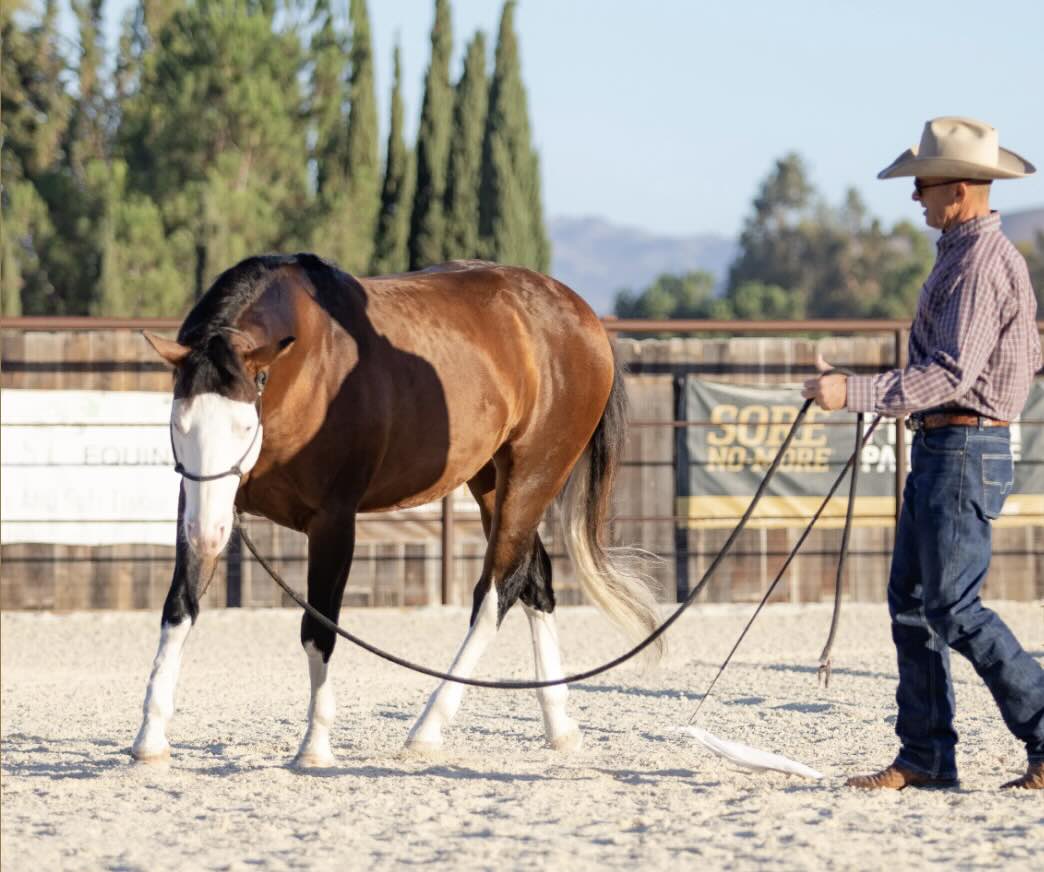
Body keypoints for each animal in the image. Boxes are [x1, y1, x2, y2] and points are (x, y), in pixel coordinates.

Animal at [131, 253, 663, 767]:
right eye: (178, 422)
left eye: (243, 427)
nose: (209, 535)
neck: (306, 369)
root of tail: (580, 314)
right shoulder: (199, 502)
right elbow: (178, 608)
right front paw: (149, 738)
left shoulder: (333, 522)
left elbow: (319, 629)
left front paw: (315, 746)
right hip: (492, 482)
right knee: (535, 581)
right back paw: (560, 726)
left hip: (534, 476)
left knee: (495, 592)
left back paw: (427, 729)